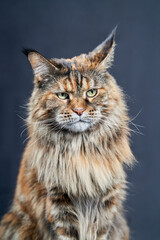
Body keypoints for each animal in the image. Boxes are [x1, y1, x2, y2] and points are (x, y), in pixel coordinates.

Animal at [0, 27, 135, 239]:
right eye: (63, 96)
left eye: (91, 92)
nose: (79, 111)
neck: (81, 149)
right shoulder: (59, 205)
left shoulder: (106, 206)